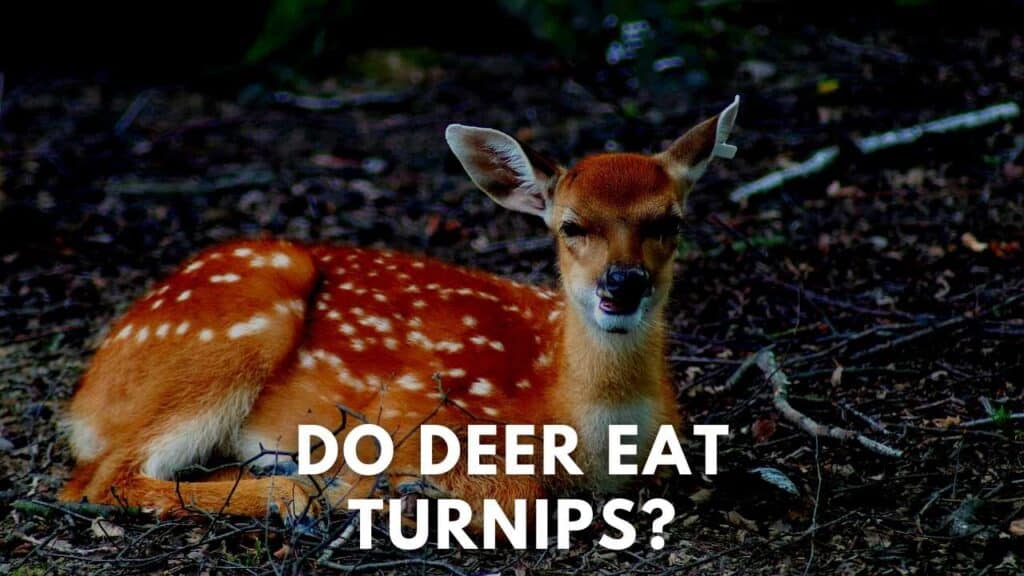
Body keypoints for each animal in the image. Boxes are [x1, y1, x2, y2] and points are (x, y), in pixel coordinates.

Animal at [60, 96, 740, 530]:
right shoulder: (408, 416)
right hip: (237, 327)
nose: (623, 284)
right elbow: (514, 496)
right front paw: (400, 495)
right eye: (570, 226)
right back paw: (301, 491)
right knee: (99, 478)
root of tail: (88, 391)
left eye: (671, 222)